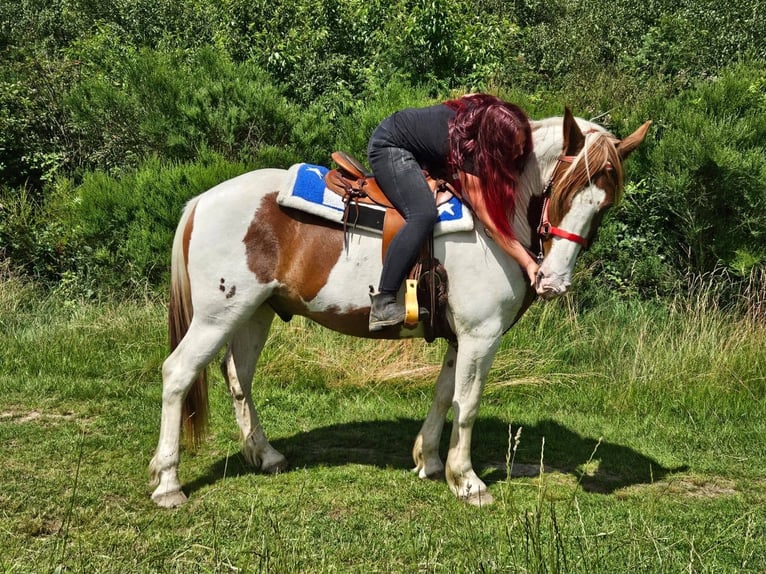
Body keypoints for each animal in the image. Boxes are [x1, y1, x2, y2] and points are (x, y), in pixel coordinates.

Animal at [149, 108, 651, 507]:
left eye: (603, 206)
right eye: (562, 193)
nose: (554, 281)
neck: (493, 224)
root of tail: (201, 201)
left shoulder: (460, 338)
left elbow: (445, 396)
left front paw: (429, 461)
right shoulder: (481, 335)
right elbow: (468, 404)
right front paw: (468, 482)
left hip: (256, 312)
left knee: (239, 378)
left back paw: (265, 455)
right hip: (217, 316)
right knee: (178, 373)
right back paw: (169, 483)